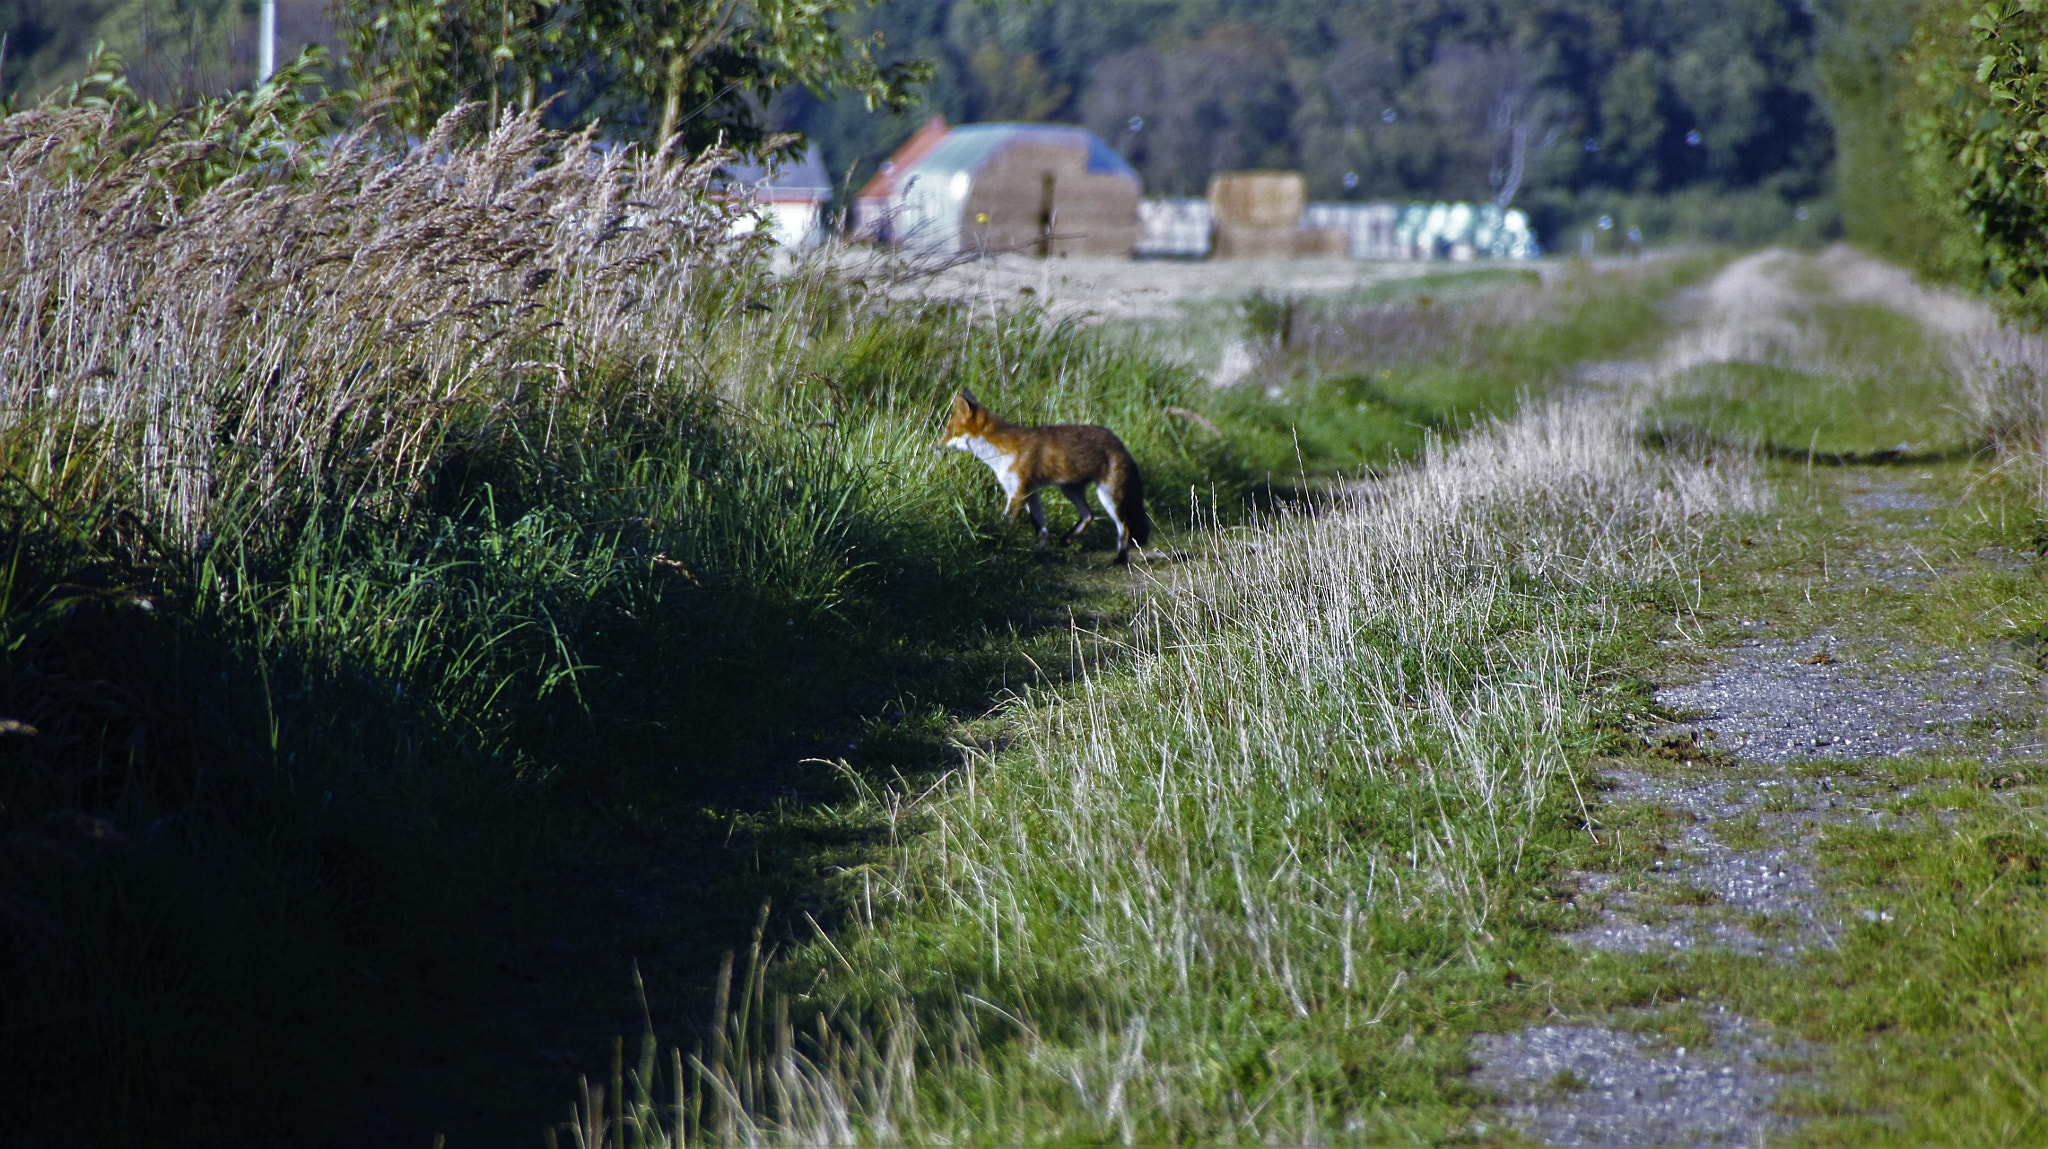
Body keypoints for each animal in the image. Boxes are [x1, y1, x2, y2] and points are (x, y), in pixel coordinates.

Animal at [936, 389, 1152, 564]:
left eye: (949, 431)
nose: (935, 447)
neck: (1000, 451)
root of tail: (1119, 442)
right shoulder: (1030, 492)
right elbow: (1040, 527)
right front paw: (1041, 551)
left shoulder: (1018, 493)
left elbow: (1004, 526)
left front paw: (995, 550)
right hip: (1070, 489)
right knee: (1089, 515)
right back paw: (1067, 540)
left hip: (1108, 495)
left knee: (1124, 527)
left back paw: (1121, 558)